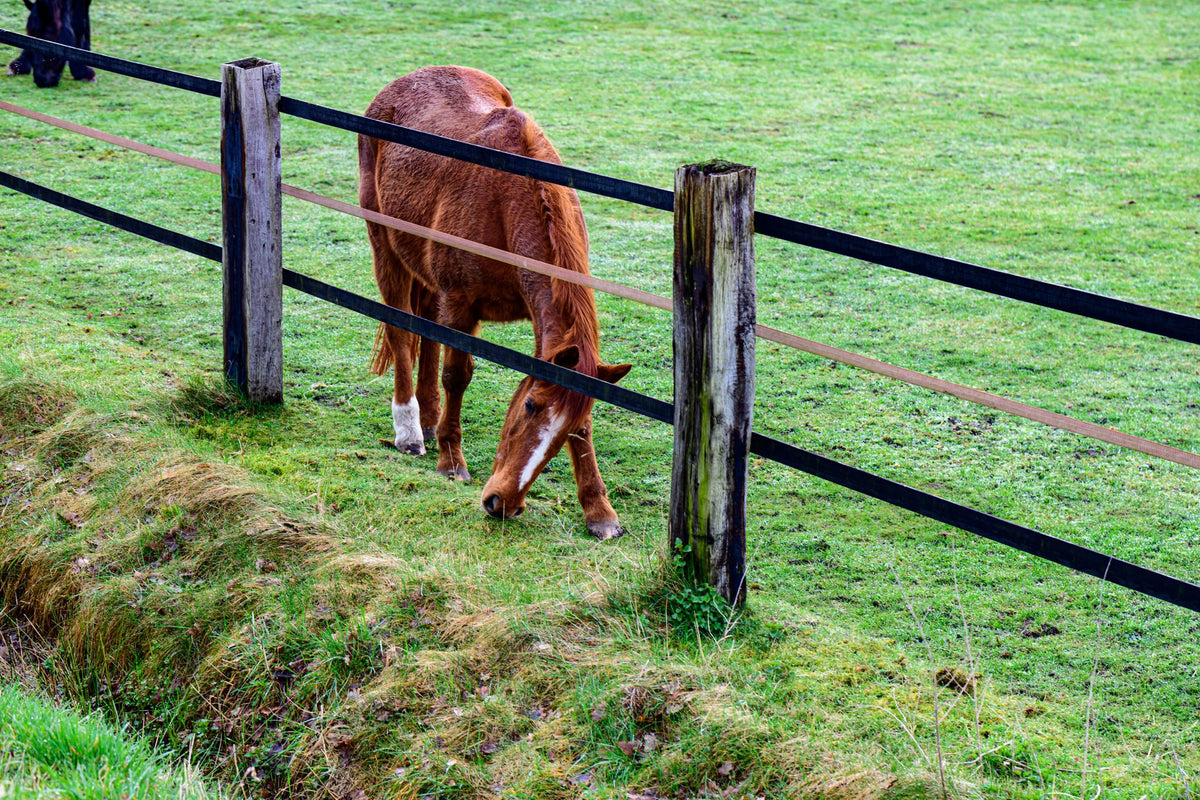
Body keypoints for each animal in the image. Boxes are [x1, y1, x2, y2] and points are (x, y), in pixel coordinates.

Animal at [357, 66, 632, 540]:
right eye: (530, 405)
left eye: (569, 429)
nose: (502, 503)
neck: (506, 200)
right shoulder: (462, 304)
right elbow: (457, 375)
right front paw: (452, 461)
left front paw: (598, 510)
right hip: (386, 248)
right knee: (400, 329)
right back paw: (410, 429)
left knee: (425, 329)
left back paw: (428, 418)